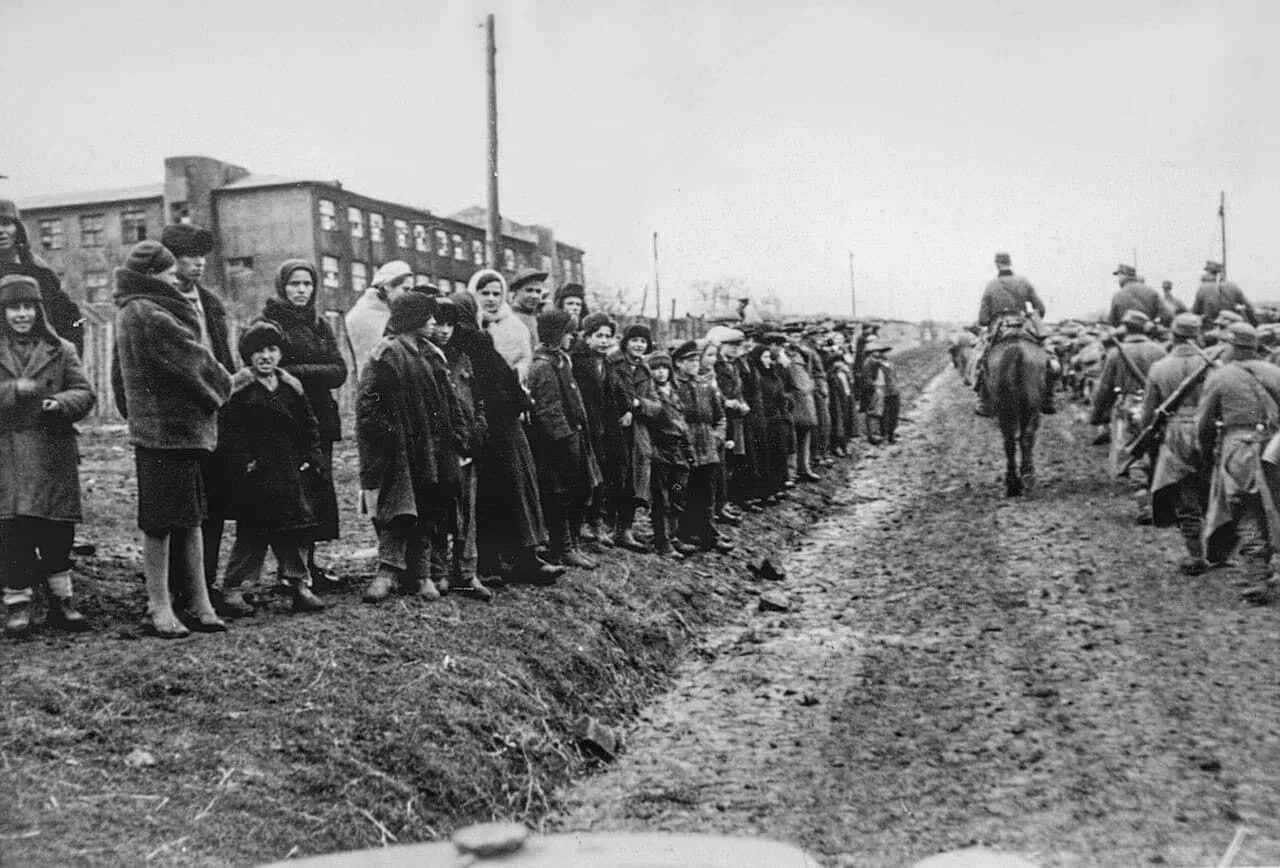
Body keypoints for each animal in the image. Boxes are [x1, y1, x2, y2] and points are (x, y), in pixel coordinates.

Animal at [983, 340, 1044, 504]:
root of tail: (1017, 353)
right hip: (1028, 409)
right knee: (1025, 438)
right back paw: (1025, 478)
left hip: (1005, 409)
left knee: (1009, 441)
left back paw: (1014, 483)